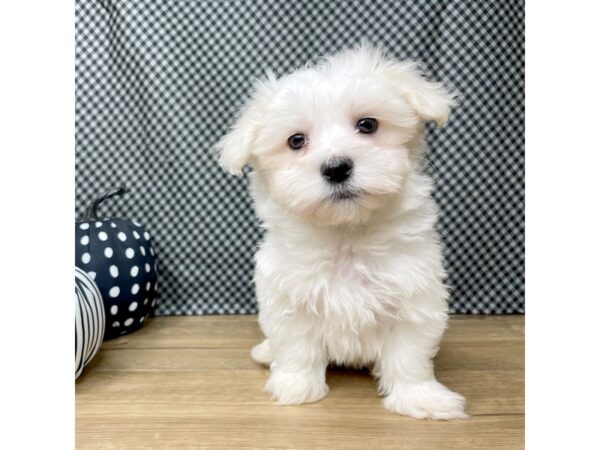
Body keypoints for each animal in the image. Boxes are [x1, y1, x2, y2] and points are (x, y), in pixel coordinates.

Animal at [218, 44, 466, 420]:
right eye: (296, 141)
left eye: (367, 124)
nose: (336, 167)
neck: (346, 234)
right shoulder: (287, 297)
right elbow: (296, 347)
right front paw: (296, 387)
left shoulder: (414, 295)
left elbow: (408, 355)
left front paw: (420, 397)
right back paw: (266, 352)